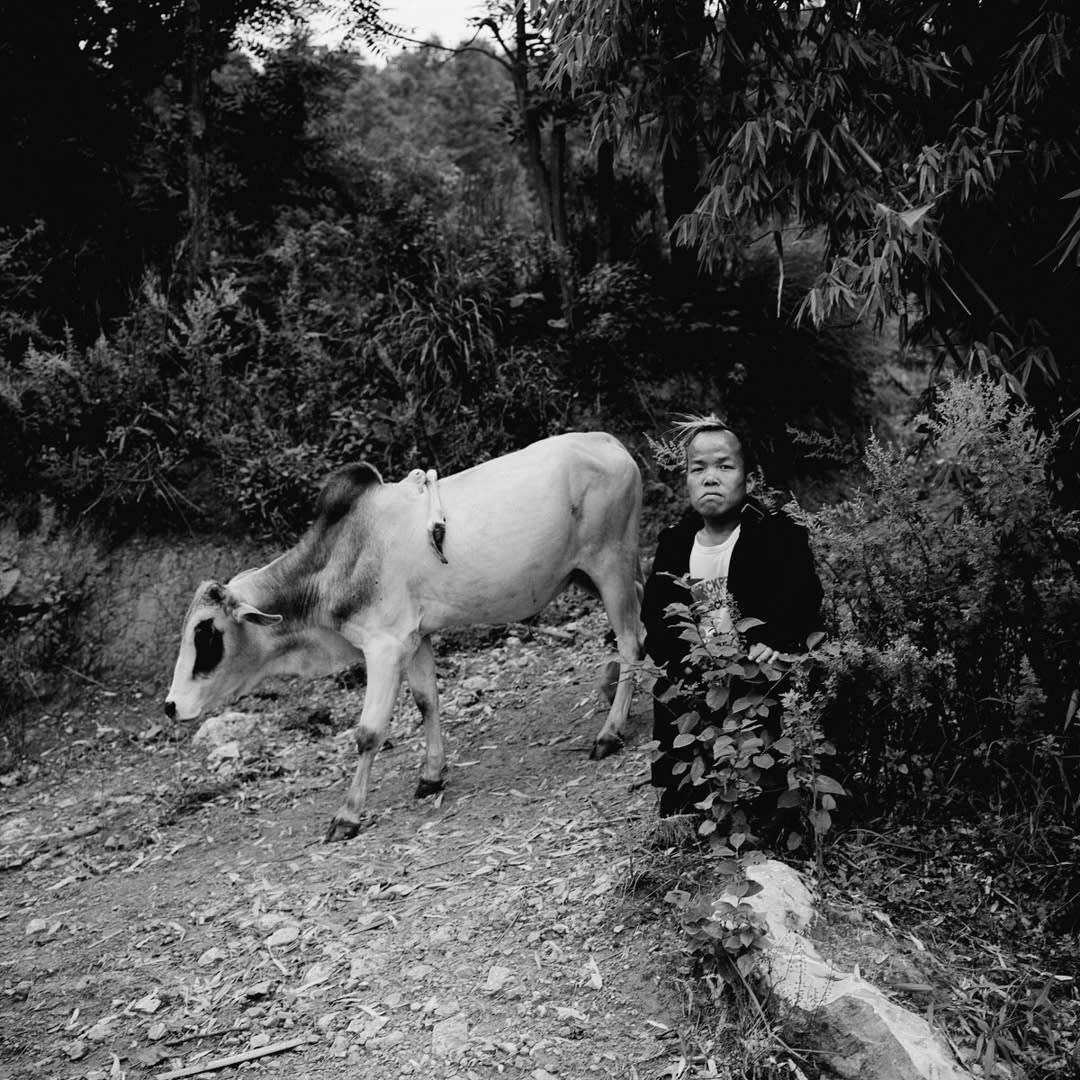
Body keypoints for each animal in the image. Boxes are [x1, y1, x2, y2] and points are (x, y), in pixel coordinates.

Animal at [164, 432, 645, 841]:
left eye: (206, 632)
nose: (171, 706)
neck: (337, 562)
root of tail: (612, 443)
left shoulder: (384, 647)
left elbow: (368, 732)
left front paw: (347, 816)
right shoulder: (416, 639)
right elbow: (426, 701)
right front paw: (431, 775)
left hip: (610, 566)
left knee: (630, 643)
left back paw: (610, 733)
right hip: (590, 575)